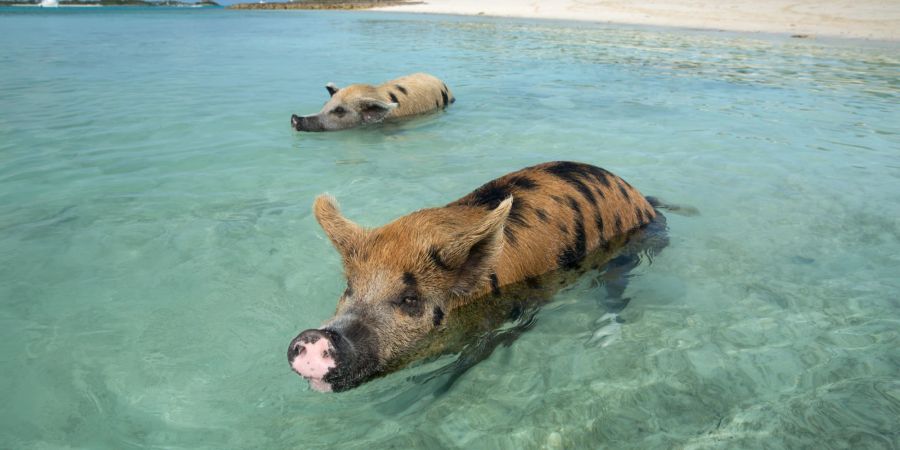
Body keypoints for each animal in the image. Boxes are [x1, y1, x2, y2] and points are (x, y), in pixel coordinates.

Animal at [288, 161, 668, 390]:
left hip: (625, 253)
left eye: (410, 299)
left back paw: (602, 339)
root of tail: (642, 199)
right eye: (349, 287)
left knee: (617, 292)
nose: (313, 336)